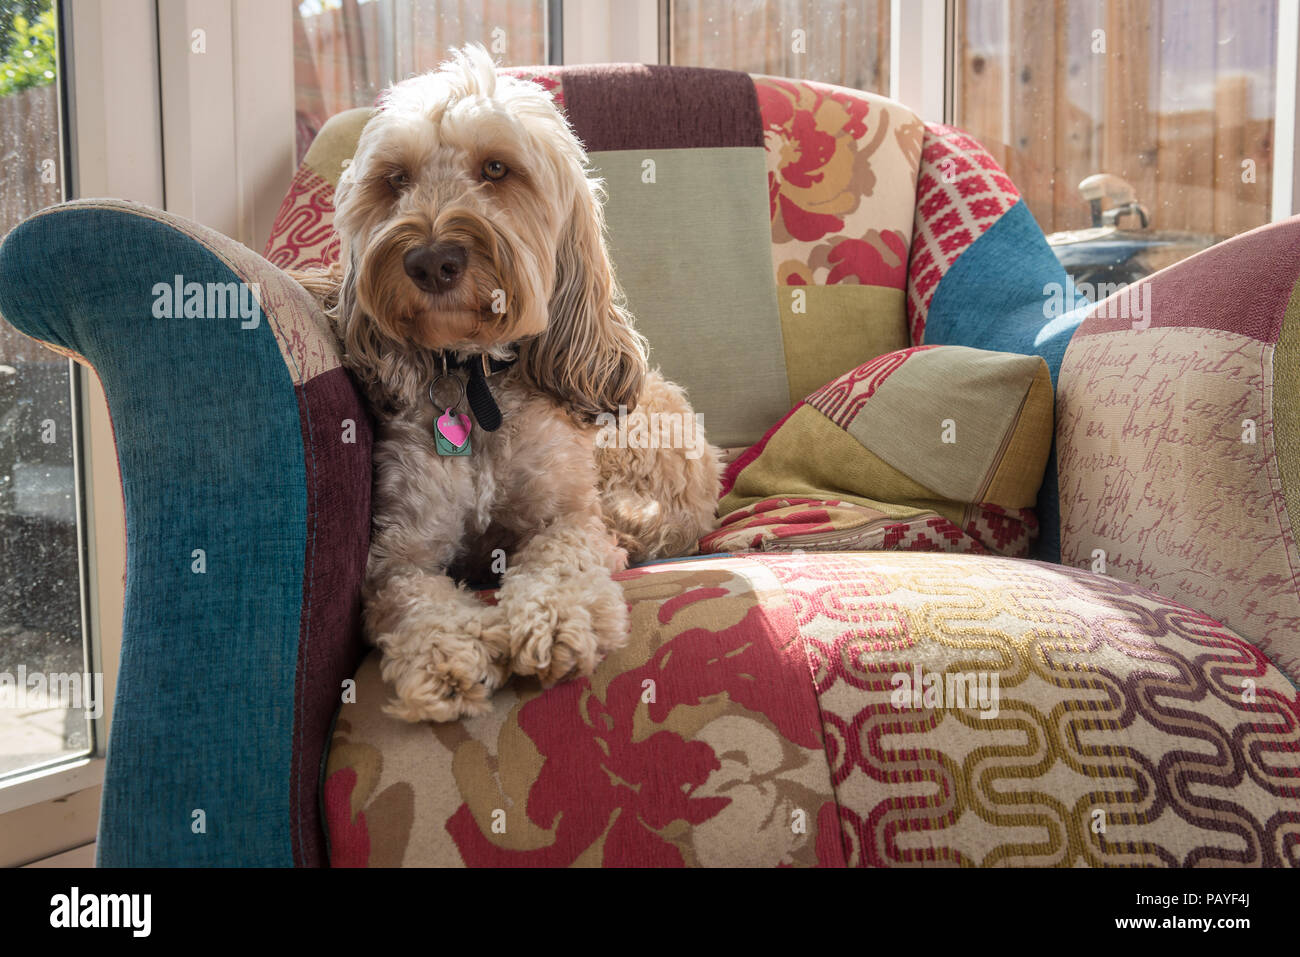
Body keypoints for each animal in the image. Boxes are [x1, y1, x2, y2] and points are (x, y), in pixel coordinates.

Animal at [293, 44, 722, 717]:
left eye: (496, 168)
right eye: (395, 179)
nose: (431, 260)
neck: (475, 382)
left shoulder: (568, 516)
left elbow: (561, 561)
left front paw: (554, 623)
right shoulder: (400, 554)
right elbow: (414, 600)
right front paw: (447, 655)